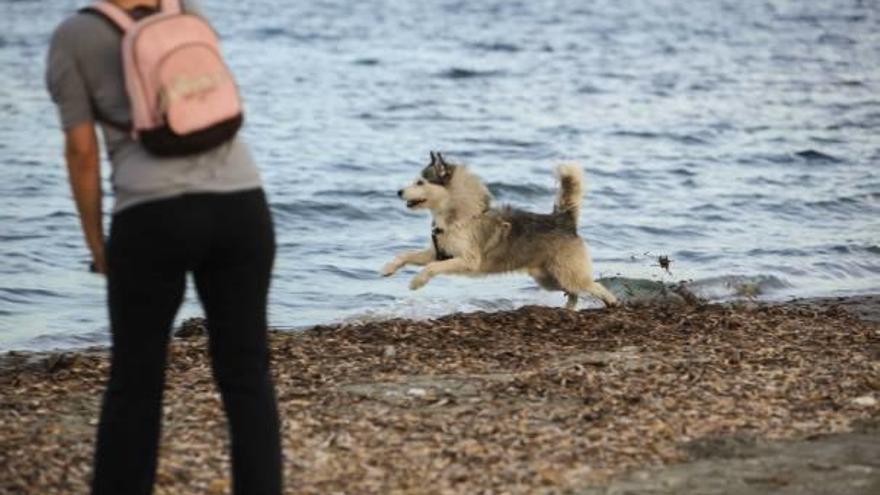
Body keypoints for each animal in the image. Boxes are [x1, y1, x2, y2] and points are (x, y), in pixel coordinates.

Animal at [384, 152, 620, 310]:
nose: (398, 192)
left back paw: (612, 301)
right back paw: (569, 309)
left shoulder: (467, 260)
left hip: (566, 273)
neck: (460, 216)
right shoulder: (439, 252)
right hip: (549, 278)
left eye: (420, 182)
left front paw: (417, 281)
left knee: (591, 285)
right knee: (574, 292)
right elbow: (407, 255)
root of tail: (564, 219)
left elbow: (432, 267)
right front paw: (389, 268)